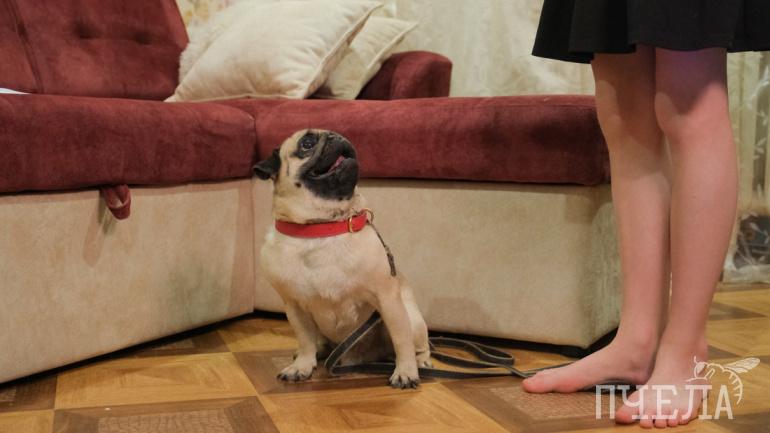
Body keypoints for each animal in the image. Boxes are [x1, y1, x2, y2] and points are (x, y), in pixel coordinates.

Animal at [253, 129, 431, 388]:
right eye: (307, 143)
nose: (335, 136)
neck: (322, 226)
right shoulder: (294, 307)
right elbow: (304, 340)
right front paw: (302, 366)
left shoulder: (388, 300)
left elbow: (401, 341)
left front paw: (405, 371)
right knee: (316, 342)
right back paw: (317, 352)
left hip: (411, 318)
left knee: (416, 343)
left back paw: (421, 362)